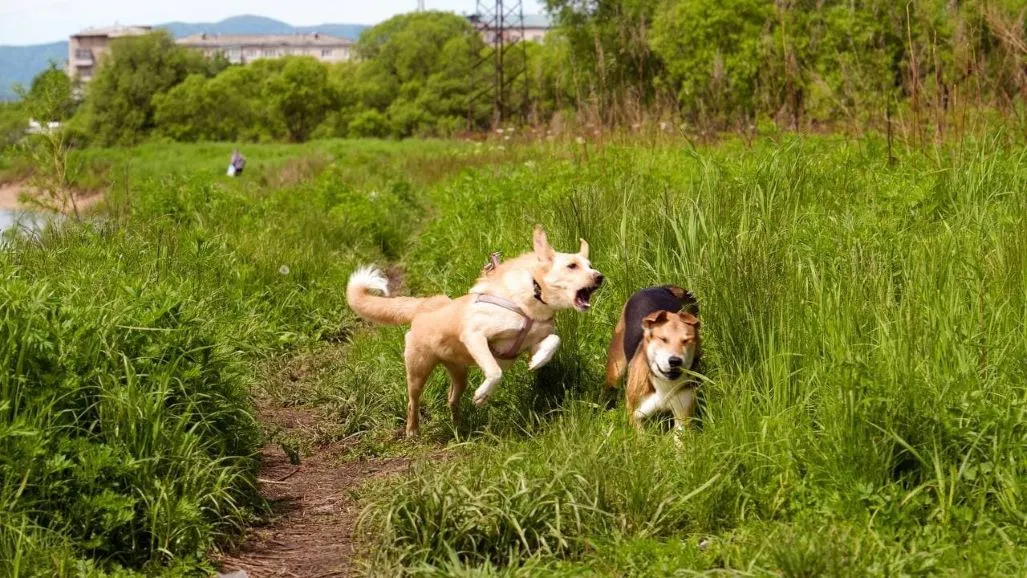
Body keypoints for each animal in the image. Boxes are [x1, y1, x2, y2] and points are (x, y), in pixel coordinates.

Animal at [347, 228, 599, 437]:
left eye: (589, 265)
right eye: (572, 266)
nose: (600, 277)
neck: (533, 295)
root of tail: (423, 306)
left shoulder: (531, 341)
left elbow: (554, 340)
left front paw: (537, 361)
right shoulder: (475, 336)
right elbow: (495, 371)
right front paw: (482, 394)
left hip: (459, 375)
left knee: (451, 399)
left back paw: (459, 427)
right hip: (418, 369)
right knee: (413, 401)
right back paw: (413, 431)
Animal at [603, 287, 702, 431]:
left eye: (686, 341)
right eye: (663, 339)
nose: (675, 361)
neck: (664, 382)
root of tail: (660, 287)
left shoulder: (683, 413)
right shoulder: (636, 414)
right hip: (616, 367)